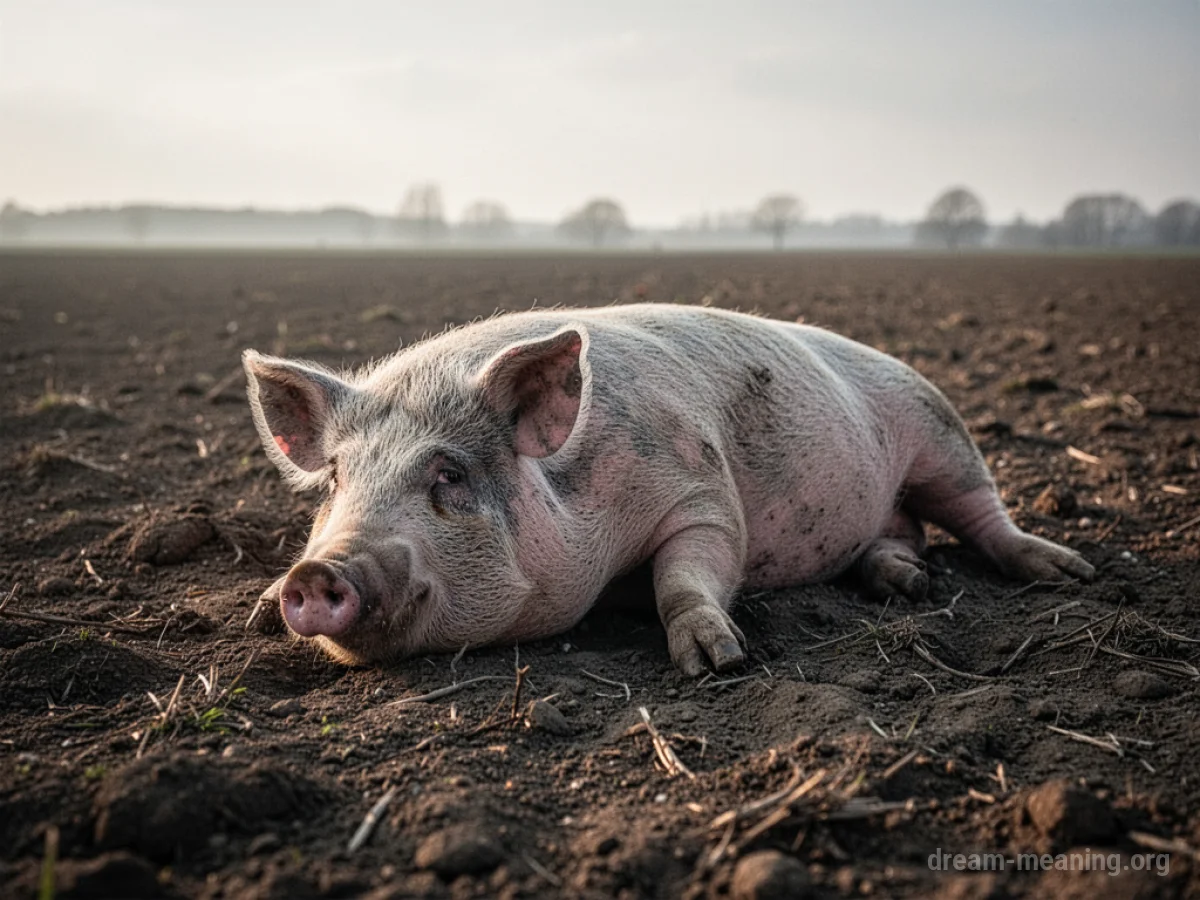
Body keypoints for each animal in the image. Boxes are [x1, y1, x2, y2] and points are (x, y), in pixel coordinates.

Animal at [244, 304, 1093, 675]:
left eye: (448, 474)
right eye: (336, 479)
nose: (317, 573)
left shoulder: (702, 495)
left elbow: (684, 577)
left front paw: (718, 662)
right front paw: (257, 614)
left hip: (940, 430)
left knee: (982, 515)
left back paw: (1067, 572)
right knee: (900, 536)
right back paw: (904, 581)